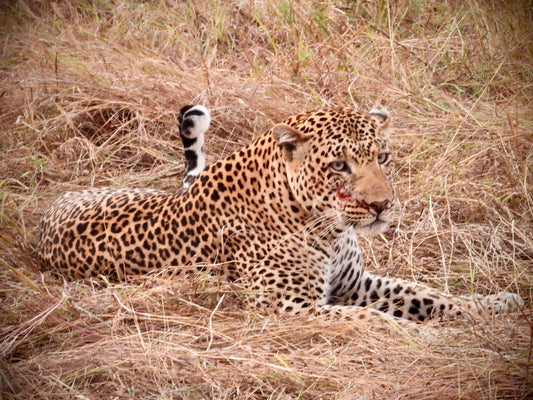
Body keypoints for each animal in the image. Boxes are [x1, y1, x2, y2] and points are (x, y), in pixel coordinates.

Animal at [35, 106, 520, 324]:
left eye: (382, 157)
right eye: (339, 166)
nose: (381, 205)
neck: (328, 229)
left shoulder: (355, 283)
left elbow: (429, 296)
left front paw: (491, 306)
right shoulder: (292, 307)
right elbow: (375, 319)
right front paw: (427, 338)